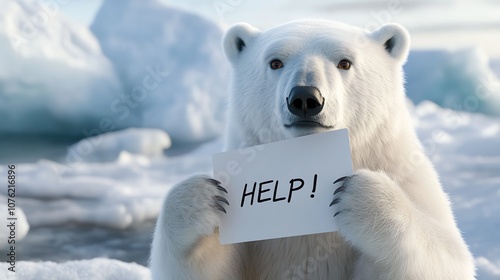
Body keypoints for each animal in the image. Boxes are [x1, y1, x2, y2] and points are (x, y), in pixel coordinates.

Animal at [149, 20, 476, 280]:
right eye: (275, 62)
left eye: (345, 62)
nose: (305, 97)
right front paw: (199, 198)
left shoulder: (405, 174)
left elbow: (448, 257)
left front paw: (361, 195)